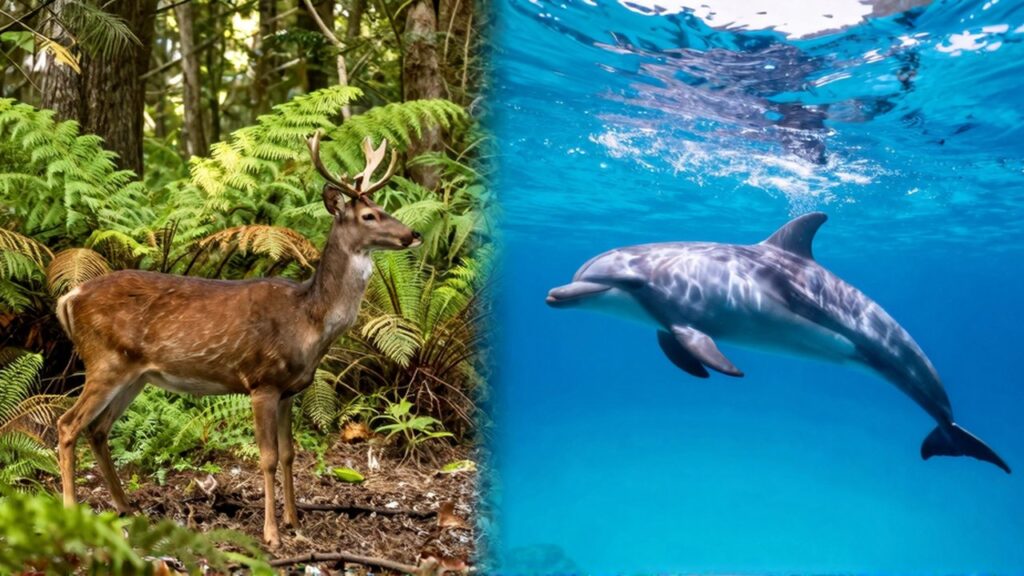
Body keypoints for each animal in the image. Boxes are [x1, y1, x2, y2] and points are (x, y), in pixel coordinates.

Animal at [53, 131, 421, 548]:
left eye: (382, 206)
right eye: (368, 216)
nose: (413, 235)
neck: (309, 320)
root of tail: (70, 296)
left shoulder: (290, 389)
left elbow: (290, 453)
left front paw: (295, 522)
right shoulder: (262, 381)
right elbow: (268, 457)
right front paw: (272, 534)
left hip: (135, 374)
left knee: (98, 429)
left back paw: (126, 507)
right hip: (104, 361)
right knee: (67, 425)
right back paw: (72, 514)